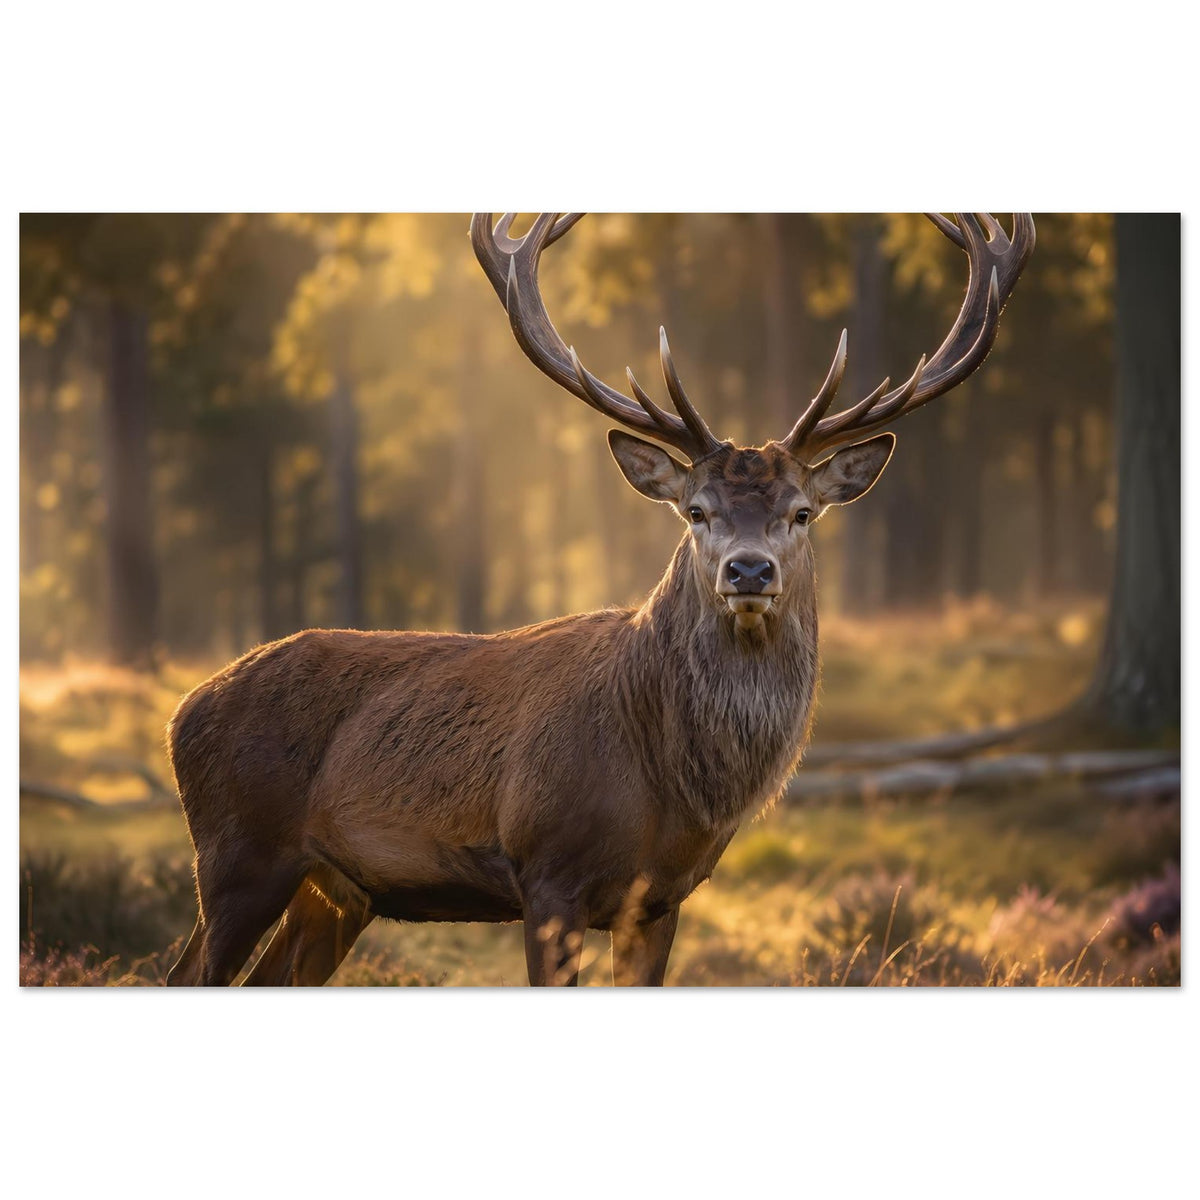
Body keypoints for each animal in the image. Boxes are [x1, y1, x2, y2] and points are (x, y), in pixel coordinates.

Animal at [165, 212, 1035, 987]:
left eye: (801, 512)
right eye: (696, 511)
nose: (749, 572)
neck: (666, 787)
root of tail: (183, 709)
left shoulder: (661, 899)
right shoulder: (546, 872)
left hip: (337, 889)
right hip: (238, 852)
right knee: (188, 971)